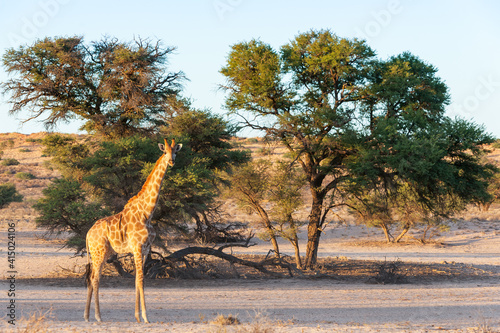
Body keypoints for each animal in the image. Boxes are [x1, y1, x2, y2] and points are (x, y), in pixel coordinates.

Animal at [83, 137, 182, 322]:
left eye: (175, 151)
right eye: (165, 151)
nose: (172, 161)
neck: (147, 212)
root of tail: (87, 234)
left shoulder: (145, 249)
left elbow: (138, 279)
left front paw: (137, 316)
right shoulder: (136, 247)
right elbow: (141, 280)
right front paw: (145, 316)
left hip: (103, 253)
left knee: (91, 277)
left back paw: (86, 316)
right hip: (99, 252)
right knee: (95, 279)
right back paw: (98, 316)